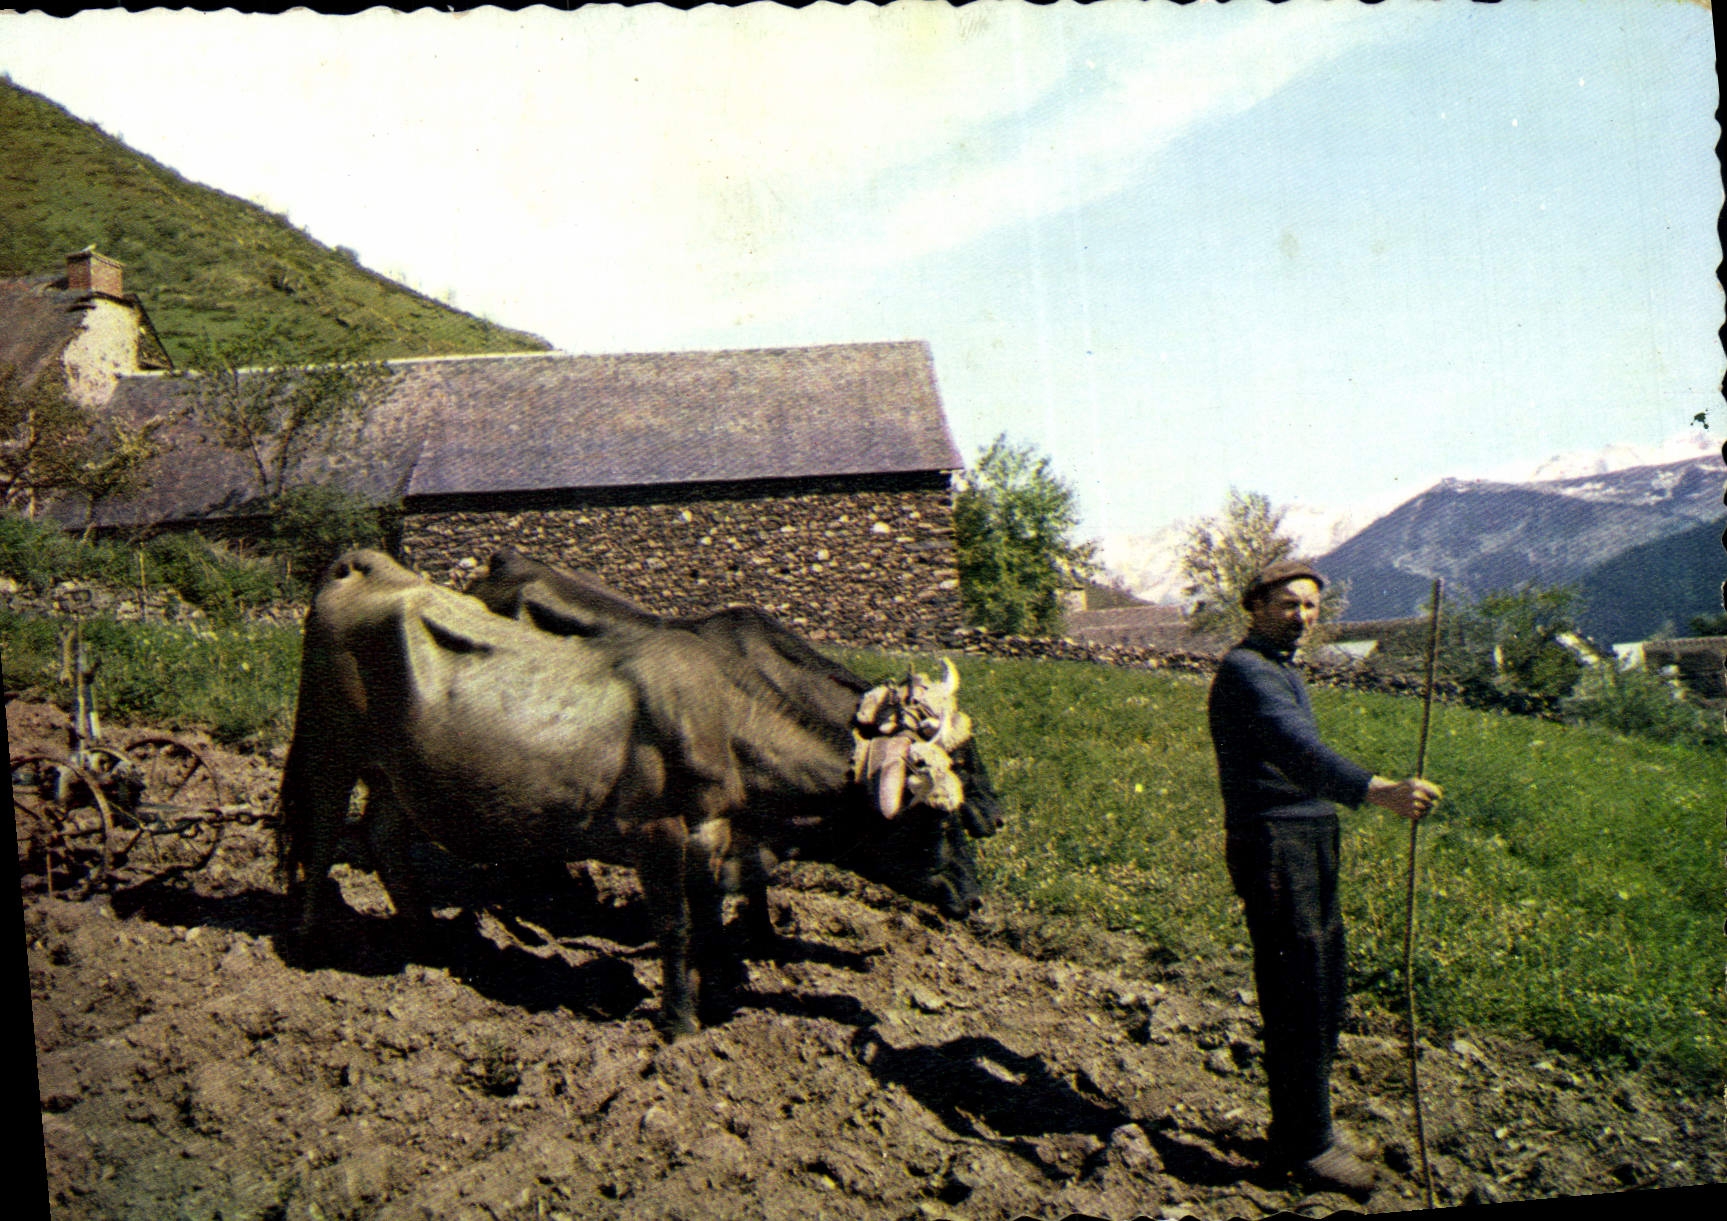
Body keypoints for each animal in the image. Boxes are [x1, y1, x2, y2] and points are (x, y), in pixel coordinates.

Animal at [277, 549, 986, 1037]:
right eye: (932, 820)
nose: (976, 899)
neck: (720, 718)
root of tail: (366, 565)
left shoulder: (712, 834)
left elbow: (708, 923)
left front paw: (715, 992)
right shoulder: (656, 833)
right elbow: (674, 926)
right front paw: (679, 1022)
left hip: (397, 772)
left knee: (384, 839)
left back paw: (429, 942)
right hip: (330, 744)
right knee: (322, 833)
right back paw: (309, 943)